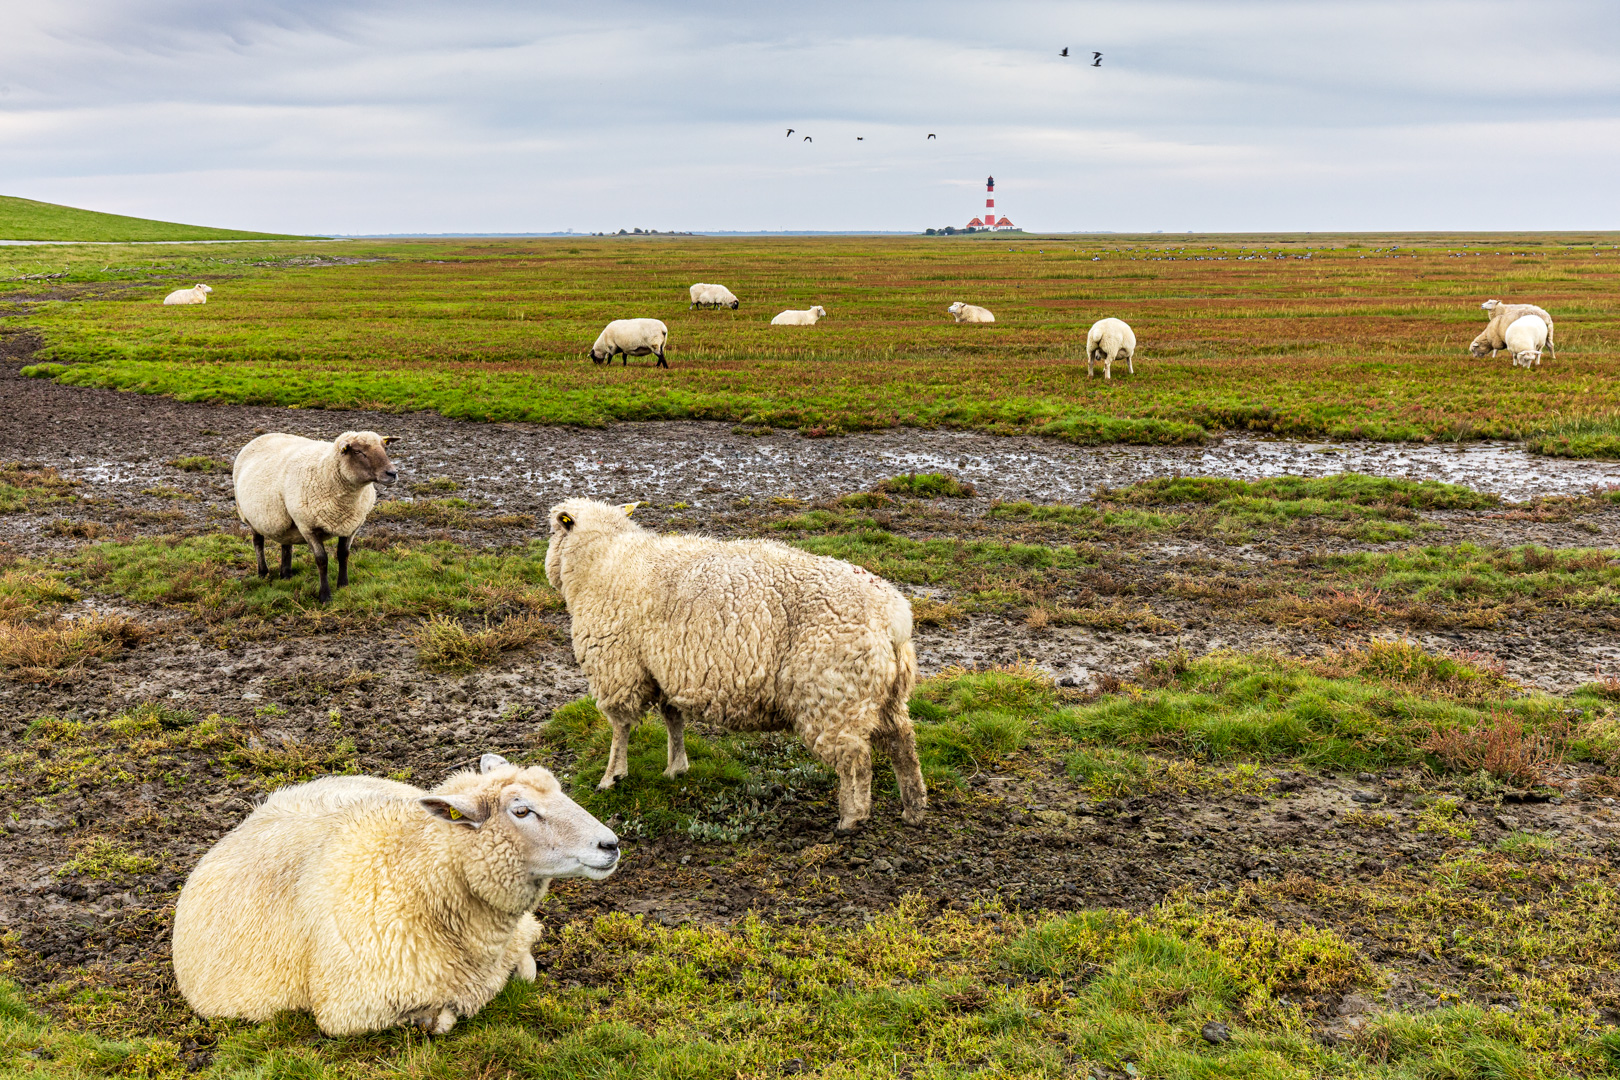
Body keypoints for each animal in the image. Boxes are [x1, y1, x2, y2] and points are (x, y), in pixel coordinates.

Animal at [167, 757, 615, 1036]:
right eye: (520, 811)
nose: (610, 844)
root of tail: (256, 812)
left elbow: (525, 970)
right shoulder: (350, 1011)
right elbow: (442, 1020)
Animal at [231, 427, 398, 605]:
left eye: (384, 448)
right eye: (358, 452)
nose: (392, 473)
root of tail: (264, 435)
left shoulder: (351, 526)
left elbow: (343, 554)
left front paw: (343, 585)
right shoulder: (307, 527)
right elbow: (321, 560)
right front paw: (325, 596)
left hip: (285, 518)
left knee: (286, 543)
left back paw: (286, 574)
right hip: (250, 516)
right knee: (258, 542)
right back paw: (263, 572)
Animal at [544, 498, 926, 835]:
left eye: (552, 530)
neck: (605, 558)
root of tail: (894, 616)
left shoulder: (618, 668)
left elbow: (620, 727)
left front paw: (612, 776)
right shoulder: (666, 668)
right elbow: (672, 718)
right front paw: (676, 768)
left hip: (833, 695)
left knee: (856, 761)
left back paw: (852, 819)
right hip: (886, 694)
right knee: (903, 744)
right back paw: (914, 808)